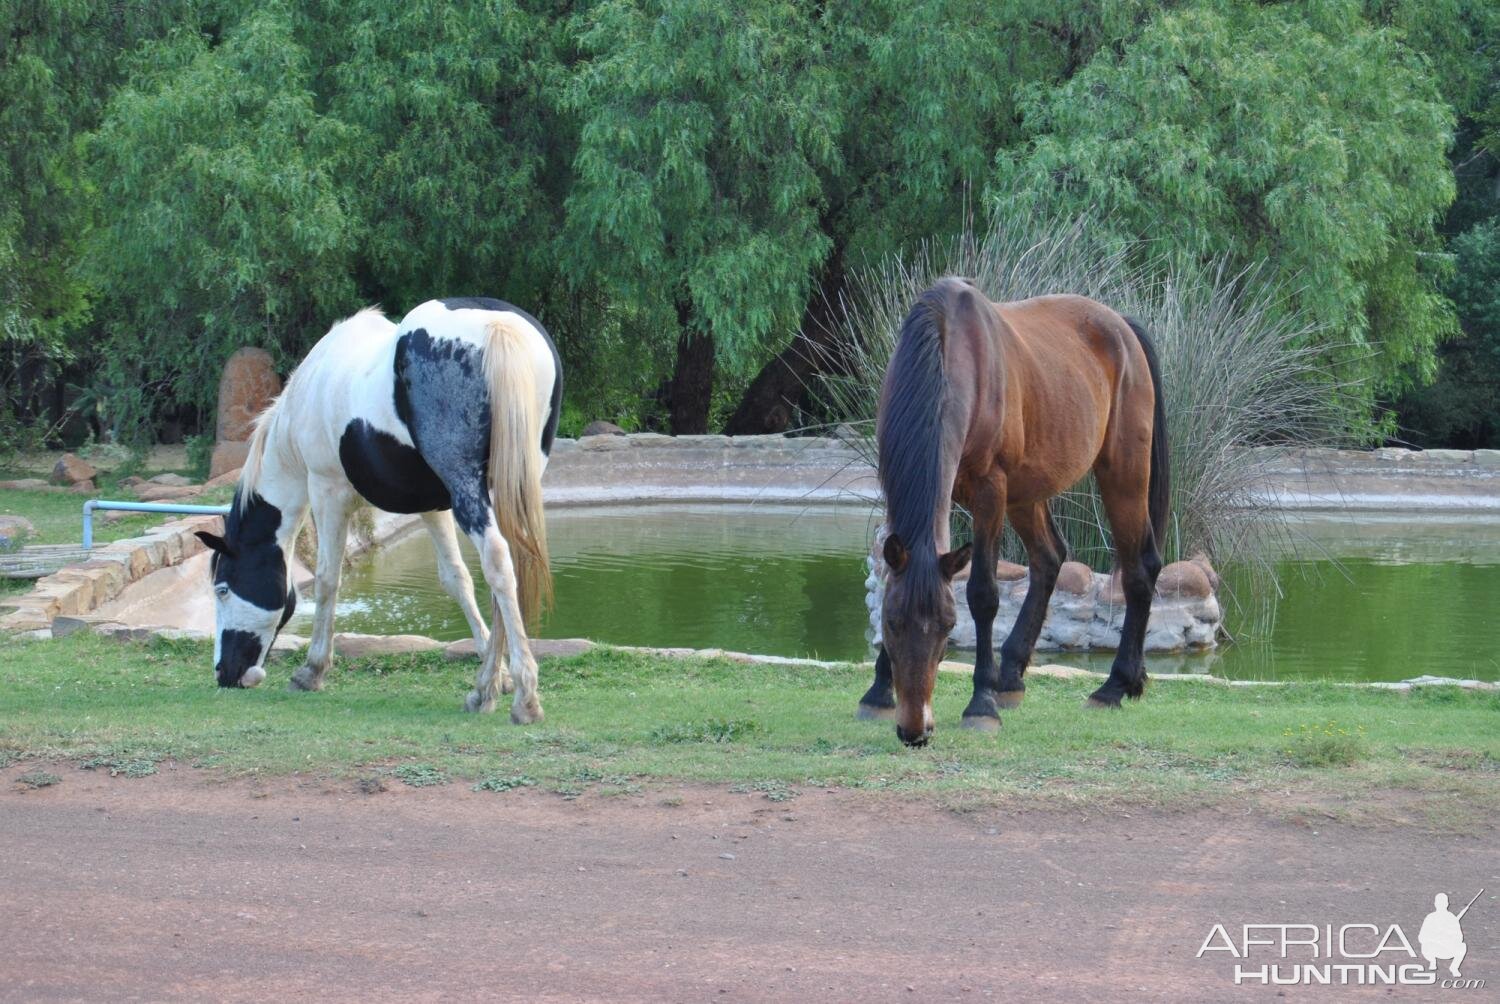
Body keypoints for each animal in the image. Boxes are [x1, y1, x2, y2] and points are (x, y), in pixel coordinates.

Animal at [193, 295, 558, 720]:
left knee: (498, 561)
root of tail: (497, 328)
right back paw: (486, 690)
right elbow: (457, 578)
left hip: (468, 486)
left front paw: (312, 671)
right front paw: (493, 673)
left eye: (221, 589)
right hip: (509, 483)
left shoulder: (327, 491)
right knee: (512, 562)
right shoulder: (434, 507)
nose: (226, 674)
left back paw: (523, 698)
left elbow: (327, 579)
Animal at [864, 276, 1164, 744]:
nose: (915, 730)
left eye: (948, 627)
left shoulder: (991, 490)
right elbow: (889, 581)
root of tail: (1122, 327)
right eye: (893, 623)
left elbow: (983, 594)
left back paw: (1114, 686)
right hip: (1028, 492)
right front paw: (878, 690)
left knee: (1139, 569)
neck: (950, 350)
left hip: (1122, 473)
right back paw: (1011, 677)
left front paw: (980, 704)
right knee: (1049, 558)